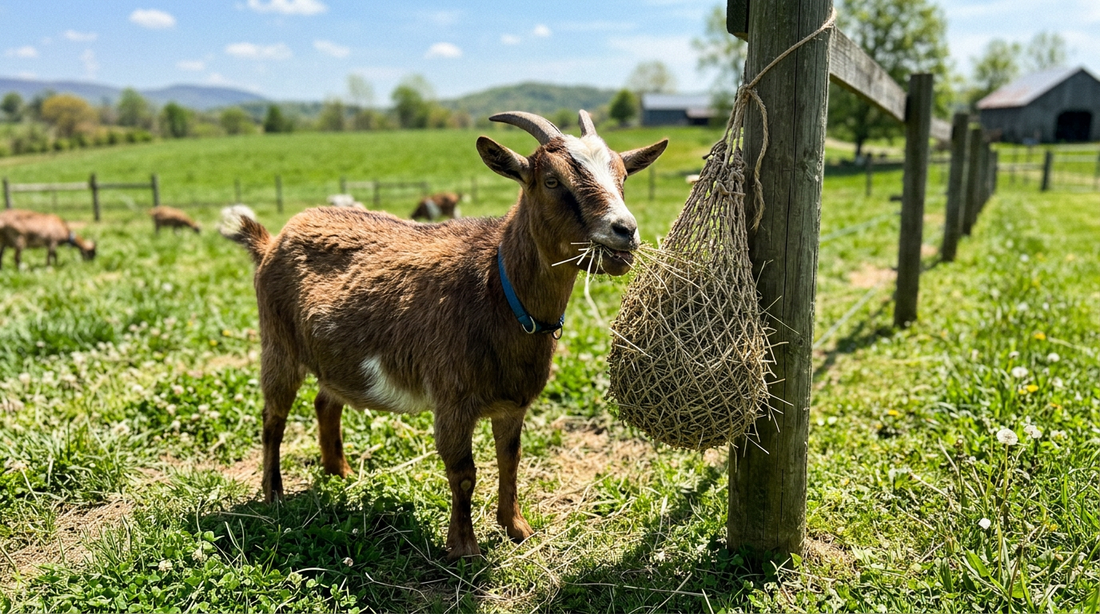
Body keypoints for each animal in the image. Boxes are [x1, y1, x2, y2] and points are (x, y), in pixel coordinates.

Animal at [219, 110, 666, 560]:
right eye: (552, 180)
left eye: (623, 176)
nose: (624, 230)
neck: (495, 288)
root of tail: (271, 241)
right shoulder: (452, 400)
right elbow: (463, 471)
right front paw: (464, 547)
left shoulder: (513, 403)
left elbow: (510, 460)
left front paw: (517, 528)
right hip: (277, 343)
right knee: (273, 417)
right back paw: (273, 493)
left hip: (335, 358)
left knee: (326, 403)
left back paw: (339, 472)